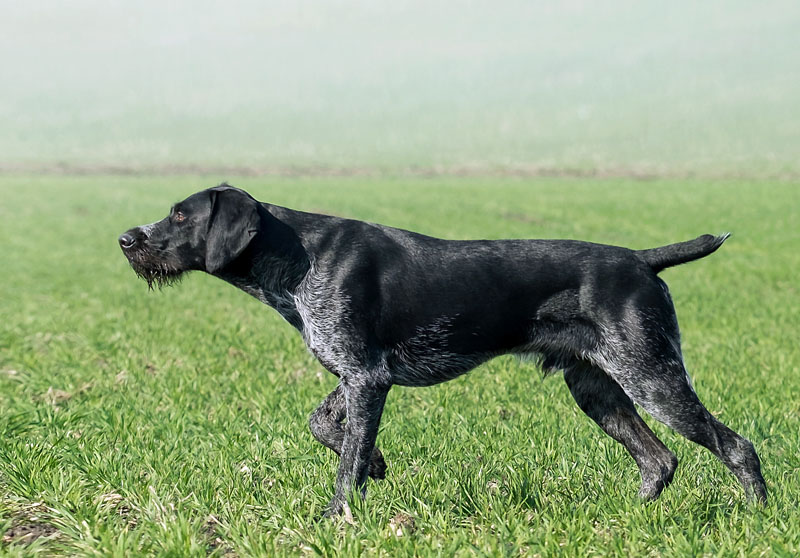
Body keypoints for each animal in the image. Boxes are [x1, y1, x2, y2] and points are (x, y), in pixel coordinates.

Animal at [120, 184, 768, 516]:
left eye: (180, 215)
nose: (127, 238)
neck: (297, 255)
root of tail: (640, 259)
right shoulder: (355, 376)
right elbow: (326, 426)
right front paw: (378, 464)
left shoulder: (368, 377)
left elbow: (346, 462)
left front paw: (338, 520)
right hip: (598, 389)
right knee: (658, 460)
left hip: (653, 377)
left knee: (736, 446)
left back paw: (759, 518)